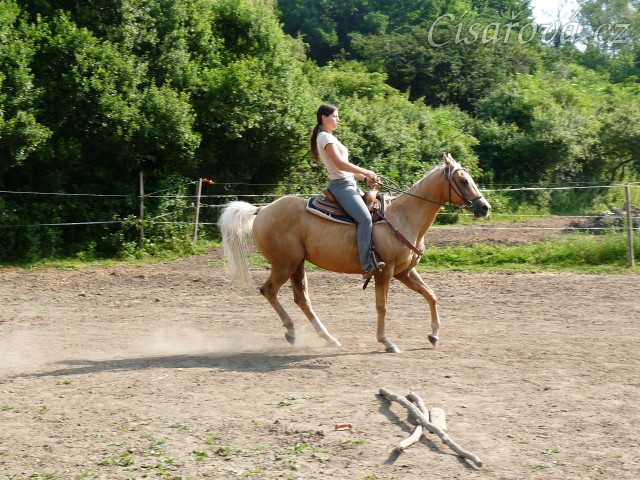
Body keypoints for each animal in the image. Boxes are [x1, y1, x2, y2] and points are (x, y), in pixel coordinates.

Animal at [219, 153, 491, 353]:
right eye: (463, 181)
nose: (485, 207)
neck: (403, 217)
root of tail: (262, 209)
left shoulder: (405, 271)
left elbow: (431, 295)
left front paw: (433, 335)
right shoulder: (385, 271)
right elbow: (382, 306)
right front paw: (387, 342)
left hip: (297, 264)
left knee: (302, 299)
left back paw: (328, 338)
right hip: (284, 264)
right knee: (269, 291)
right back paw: (291, 331)